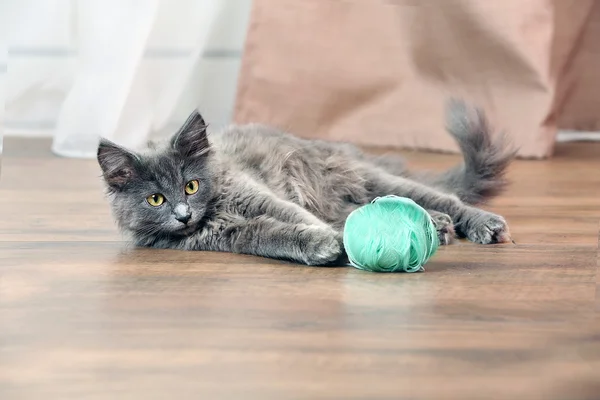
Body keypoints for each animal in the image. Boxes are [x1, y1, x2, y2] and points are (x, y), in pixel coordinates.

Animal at [97, 99, 516, 266]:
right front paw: (321, 246)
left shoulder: (259, 197)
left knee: (441, 197)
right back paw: (437, 226)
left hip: (368, 179)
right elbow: (279, 236)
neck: (216, 211)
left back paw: (480, 224)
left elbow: (295, 215)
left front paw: (338, 245)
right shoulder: (239, 235)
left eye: (190, 187)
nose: (183, 215)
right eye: (155, 200)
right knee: (358, 210)